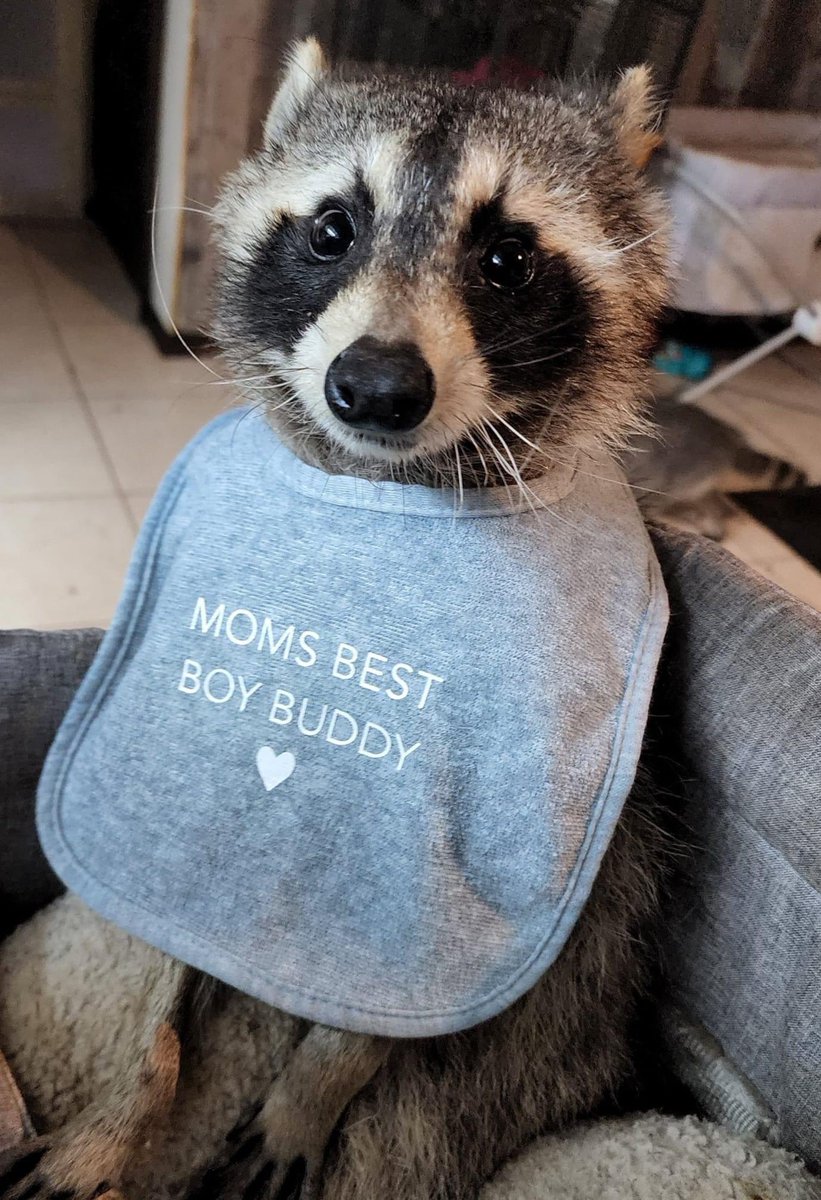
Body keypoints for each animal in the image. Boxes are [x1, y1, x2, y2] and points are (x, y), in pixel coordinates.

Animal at [0, 39, 670, 1200]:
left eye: (506, 259)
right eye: (330, 230)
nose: (377, 386)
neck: (388, 482)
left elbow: (413, 993)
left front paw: (318, 1082)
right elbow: (162, 917)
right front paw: (130, 1099)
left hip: (568, 1012)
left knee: (427, 1120)